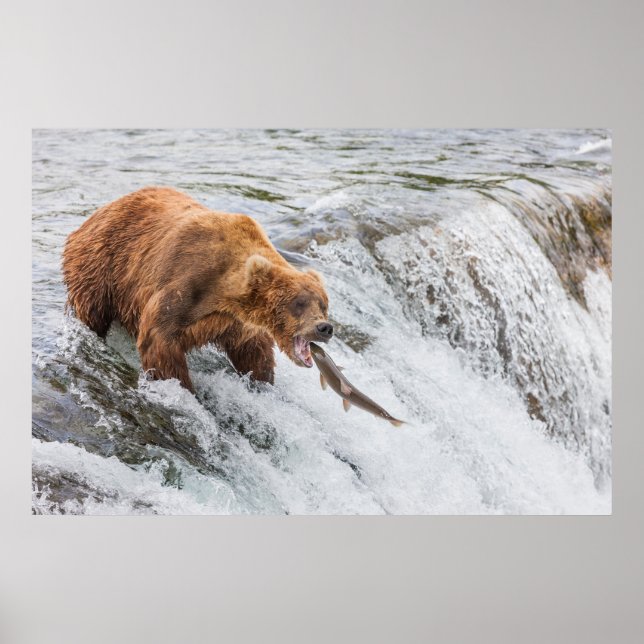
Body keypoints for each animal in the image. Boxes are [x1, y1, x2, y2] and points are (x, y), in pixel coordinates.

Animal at [62, 186, 333, 392]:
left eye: (323, 304)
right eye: (298, 303)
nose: (324, 328)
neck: (225, 291)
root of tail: (95, 214)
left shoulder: (235, 322)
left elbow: (253, 351)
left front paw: (262, 381)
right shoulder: (186, 283)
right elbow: (159, 340)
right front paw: (183, 387)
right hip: (101, 266)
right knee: (92, 311)